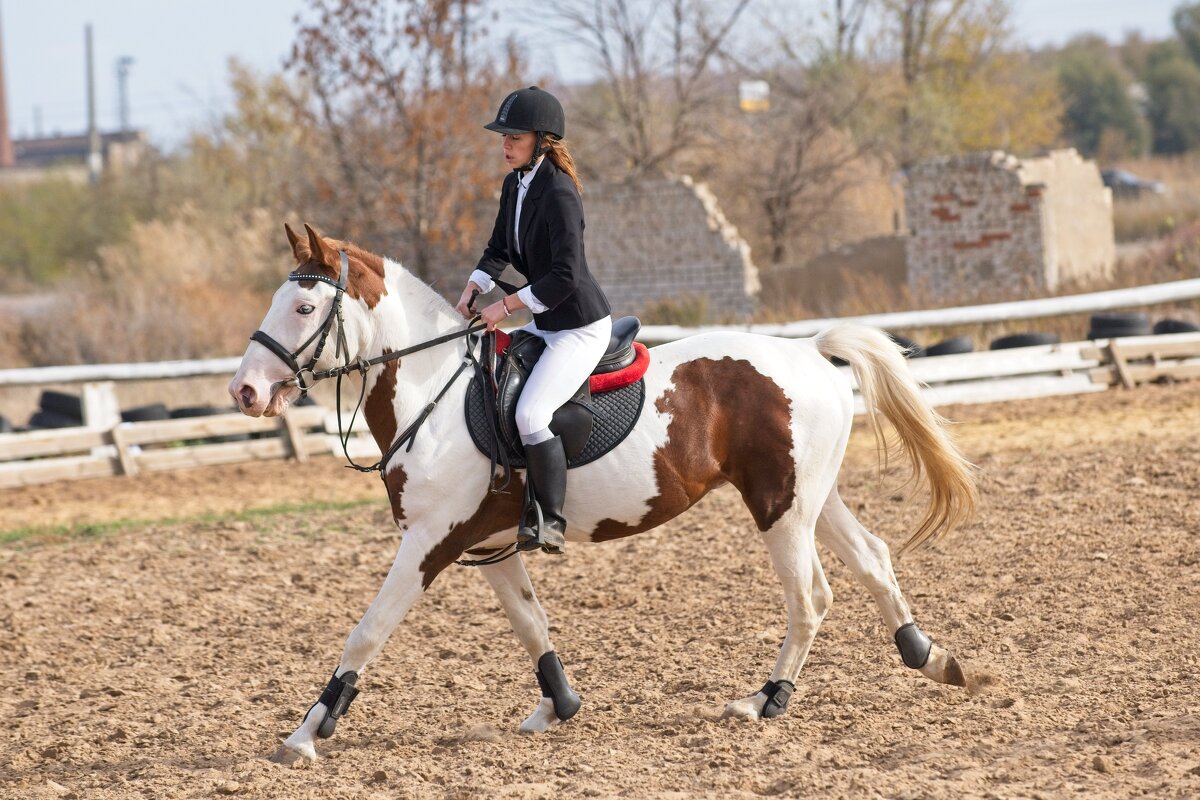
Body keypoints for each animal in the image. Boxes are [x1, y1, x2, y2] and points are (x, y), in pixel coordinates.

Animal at [231, 224, 974, 762]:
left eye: (303, 306)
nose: (244, 391)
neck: (434, 392)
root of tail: (810, 351)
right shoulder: (491, 546)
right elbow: (532, 623)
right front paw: (558, 707)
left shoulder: (429, 543)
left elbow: (366, 632)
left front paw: (305, 735)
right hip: (808, 496)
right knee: (872, 557)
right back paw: (929, 657)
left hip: (780, 510)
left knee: (811, 596)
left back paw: (765, 701)